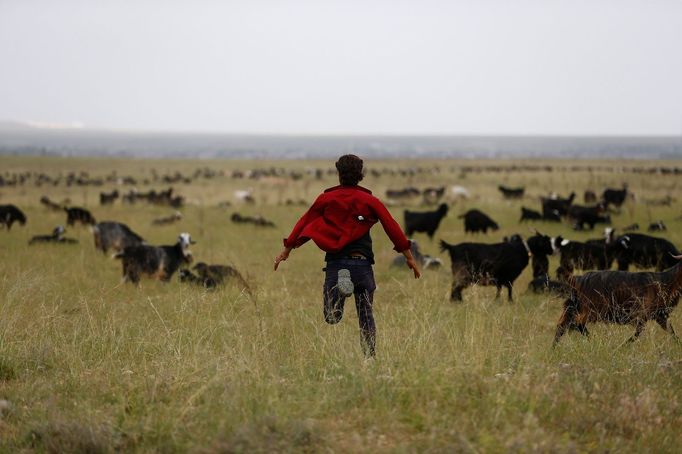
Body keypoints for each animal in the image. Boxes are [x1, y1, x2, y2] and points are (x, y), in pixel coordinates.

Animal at [552, 254, 680, 346]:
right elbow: (638, 332)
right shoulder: (642, 313)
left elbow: (671, 331)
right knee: (577, 323)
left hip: (574, 306)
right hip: (592, 308)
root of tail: (577, 279)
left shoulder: (660, 315)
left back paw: (554, 348)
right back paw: (593, 341)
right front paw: (623, 346)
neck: (666, 281)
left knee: (562, 325)